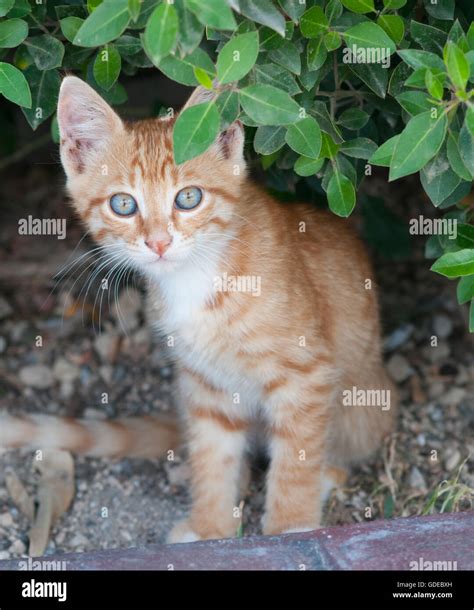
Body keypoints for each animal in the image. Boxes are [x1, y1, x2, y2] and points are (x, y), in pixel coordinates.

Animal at [2, 77, 396, 540]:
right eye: (123, 204)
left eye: (188, 197)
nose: (158, 242)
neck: (197, 276)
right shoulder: (207, 386)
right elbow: (212, 454)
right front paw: (210, 527)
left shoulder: (306, 374)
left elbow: (296, 458)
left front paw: (291, 526)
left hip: (366, 406)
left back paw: (326, 476)